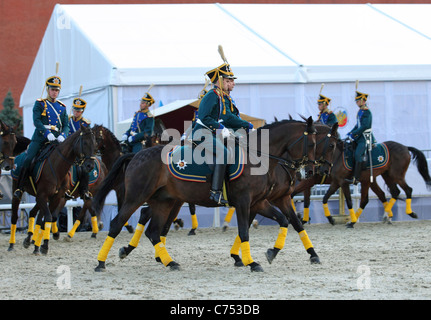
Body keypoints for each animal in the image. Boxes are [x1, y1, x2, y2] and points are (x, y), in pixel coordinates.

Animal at [7, 126, 97, 254]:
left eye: (95, 143)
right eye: (84, 142)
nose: (90, 166)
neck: (57, 167)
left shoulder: (56, 197)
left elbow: (45, 220)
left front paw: (40, 245)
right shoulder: (43, 196)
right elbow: (48, 217)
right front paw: (44, 245)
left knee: (34, 213)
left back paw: (29, 240)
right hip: (18, 190)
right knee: (15, 216)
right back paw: (11, 244)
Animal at [93, 117, 318, 272]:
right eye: (313, 144)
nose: (311, 172)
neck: (258, 158)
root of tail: (136, 155)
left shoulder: (259, 202)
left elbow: (285, 221)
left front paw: (271, 252)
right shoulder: (245, 202)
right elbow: (244, 231)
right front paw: (251, 262)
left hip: (164, 202)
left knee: (154, 231)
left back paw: (169, 262)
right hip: (136, 197)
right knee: (118, 224)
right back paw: (101, 262)